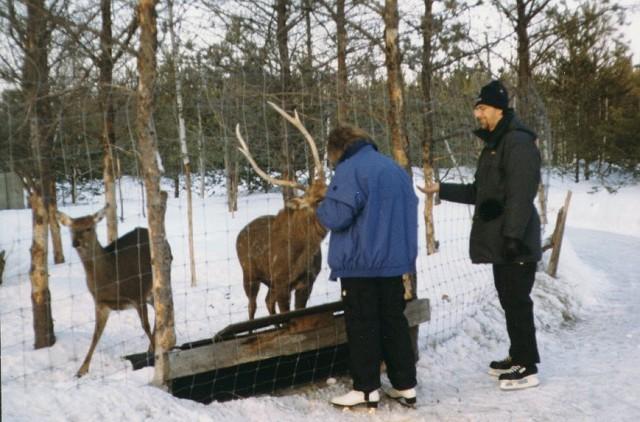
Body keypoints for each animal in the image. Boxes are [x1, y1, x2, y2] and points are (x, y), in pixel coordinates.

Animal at [57, 206, 169, 378]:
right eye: (72, 229)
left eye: (89, 227)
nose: (76, 243)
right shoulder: (100, 303)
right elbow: (96, 335)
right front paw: (81, 370)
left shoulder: (137, 293)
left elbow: (145, 325)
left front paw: (155, 358)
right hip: (149, 294)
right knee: (158, 309)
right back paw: (152, 347)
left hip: (160, 276)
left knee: (161, 308)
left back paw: (154, 347)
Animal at [234, 102, 328, 320]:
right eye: (318, 200)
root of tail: (239, 233)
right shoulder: (282, 282)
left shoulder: (307, 283)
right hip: (249, 274)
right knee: (252, 305)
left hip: (269, 283)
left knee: (268, 302)